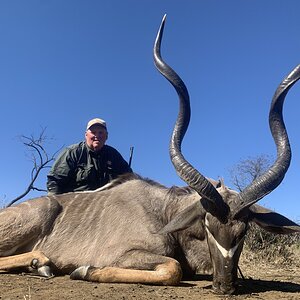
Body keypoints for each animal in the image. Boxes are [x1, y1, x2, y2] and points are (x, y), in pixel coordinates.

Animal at [0, 15, 300, 294]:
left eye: (244, 229)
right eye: (207, 225)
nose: (224, 286)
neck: (164, 211)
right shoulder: (125, 254)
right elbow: (173, 268)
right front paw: (83, 270)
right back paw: (41, 262)